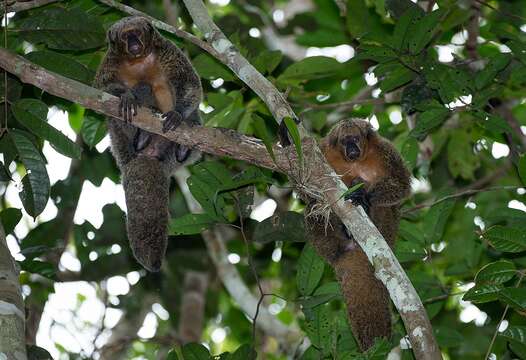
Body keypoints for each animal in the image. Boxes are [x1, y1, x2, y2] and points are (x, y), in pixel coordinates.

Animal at [94, 16, 203, 270]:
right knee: (139, 92)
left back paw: (183, 145)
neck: (138, 60)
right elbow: (102, 88)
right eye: (126, 37)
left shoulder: (168, 49)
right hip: (122, 139)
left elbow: (189, 83)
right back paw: (142, 135)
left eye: (136, 33)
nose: (134, 43)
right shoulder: (110, 61)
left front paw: (179, 114)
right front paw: (126, 97)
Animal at [306, 119, 412, 350]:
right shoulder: (323, 151)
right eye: (345, 141)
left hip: (389, 230)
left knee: (386, 208)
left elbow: (401, 183)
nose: (351, 148)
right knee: (313, 209)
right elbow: (306, 191)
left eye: (355, 139)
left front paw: (363, 195)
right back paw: (340, 245)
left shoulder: (385, 149)